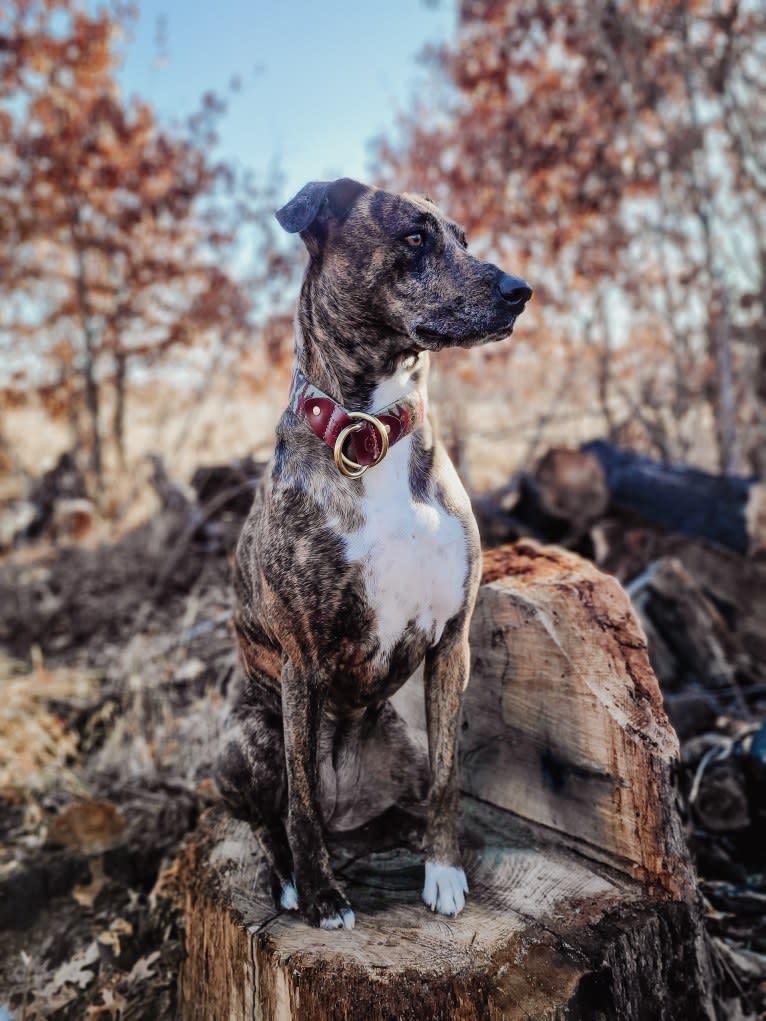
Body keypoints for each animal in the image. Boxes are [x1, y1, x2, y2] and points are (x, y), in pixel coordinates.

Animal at [213, 179, 531, 931]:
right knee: (278, 817)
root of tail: (351, 819)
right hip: (244, 737)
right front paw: (321, 894)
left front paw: (444, 871)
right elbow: (299, 803)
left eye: (462, 238)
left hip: (403, 737)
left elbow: (448, 778)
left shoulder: (451, 644)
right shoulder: (301, 662)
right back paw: (293, 879)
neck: (373, 431)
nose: (519, 291)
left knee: (396, 799)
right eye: (414, 238)